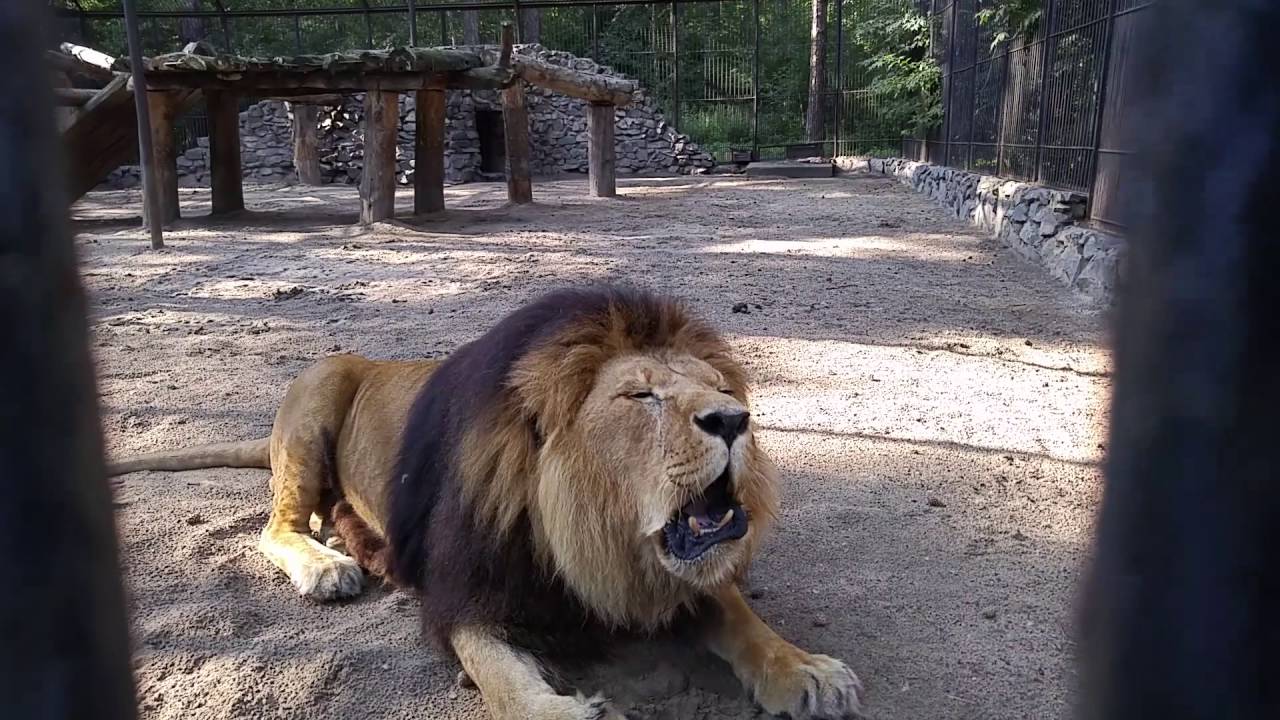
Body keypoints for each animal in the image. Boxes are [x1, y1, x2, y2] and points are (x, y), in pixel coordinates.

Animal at [110, 286, 865, 719]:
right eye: (641, 395)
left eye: (722, 388)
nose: (734, 420)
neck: (593, 538)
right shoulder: (465, 593)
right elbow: (499, 675)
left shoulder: (674, 578)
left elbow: (743, 621)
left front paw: (805, 669)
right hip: (320, 387)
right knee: (277, 525)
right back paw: (326, 565)